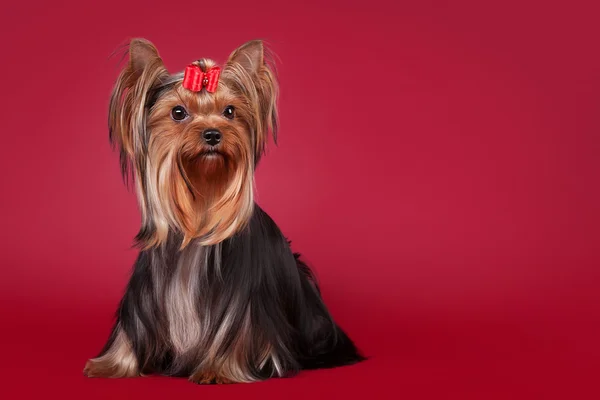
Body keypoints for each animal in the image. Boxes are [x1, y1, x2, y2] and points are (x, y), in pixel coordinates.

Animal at [83, 38, 366, 384]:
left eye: (230, 111)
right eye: (178, 112)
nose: (213, 133)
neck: (199, 213)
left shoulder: (243, 304)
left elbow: (237, 332)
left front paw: (218, 370)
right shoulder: (144, 294)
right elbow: (130, 330)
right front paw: (111, 364)